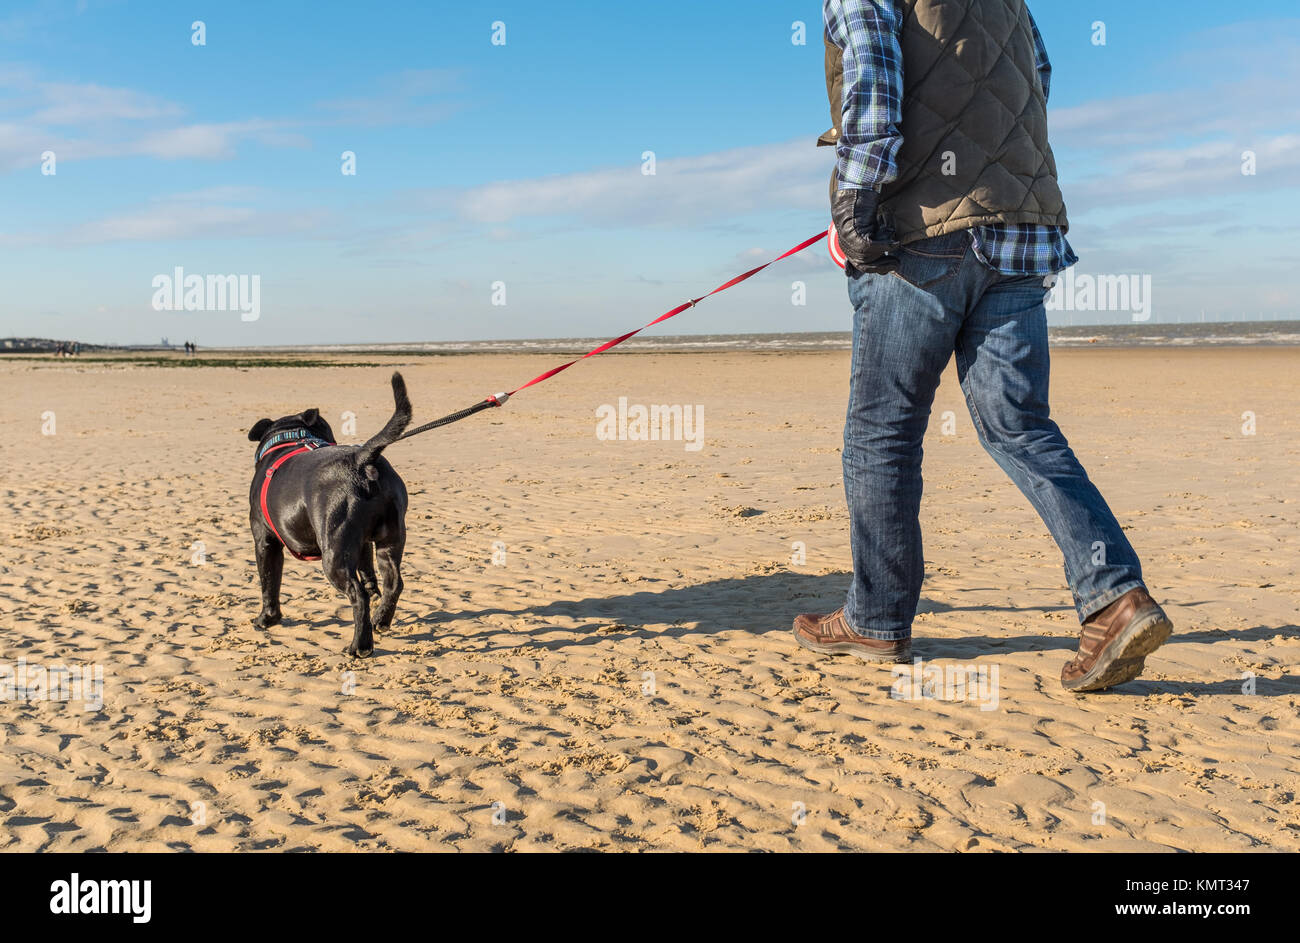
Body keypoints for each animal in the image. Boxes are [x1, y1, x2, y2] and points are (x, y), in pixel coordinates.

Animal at [243, 374, 405, 655]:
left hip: (334, 555)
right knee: (393, 582)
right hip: (390, 539)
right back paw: (380, 620)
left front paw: (266, 619)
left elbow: (269, 583)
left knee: (357, 595)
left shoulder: (265, 541)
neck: (288, 439)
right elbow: (368, 571)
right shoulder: (362, 543)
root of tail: (361, 459)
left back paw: (360, 646)